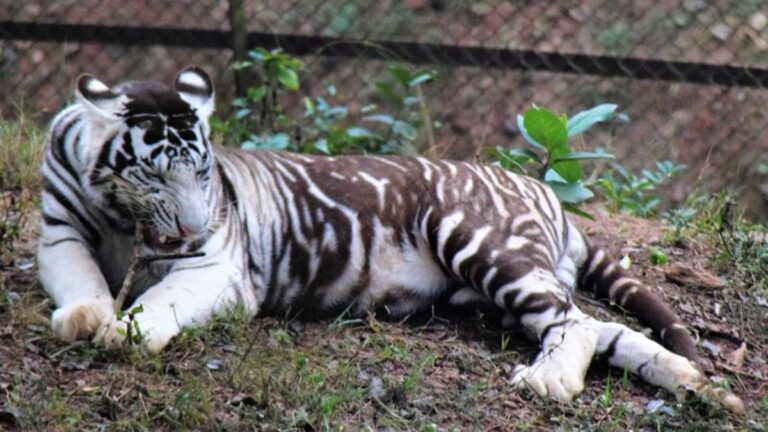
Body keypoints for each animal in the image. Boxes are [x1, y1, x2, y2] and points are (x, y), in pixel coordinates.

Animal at [38, 66, 743, 411]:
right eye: (157, 173)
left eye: (203, 173)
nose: (190, 226)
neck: (123, 218)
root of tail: (545, 194)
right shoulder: (58, 232)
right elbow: (79, 279)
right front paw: (85, 316)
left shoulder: (214, 267)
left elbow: (157, 303)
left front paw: (125, 331)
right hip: (494, 294)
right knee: (602, 328)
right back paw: (699, 386)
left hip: (484, 244)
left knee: (577, 326)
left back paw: (549, 383)